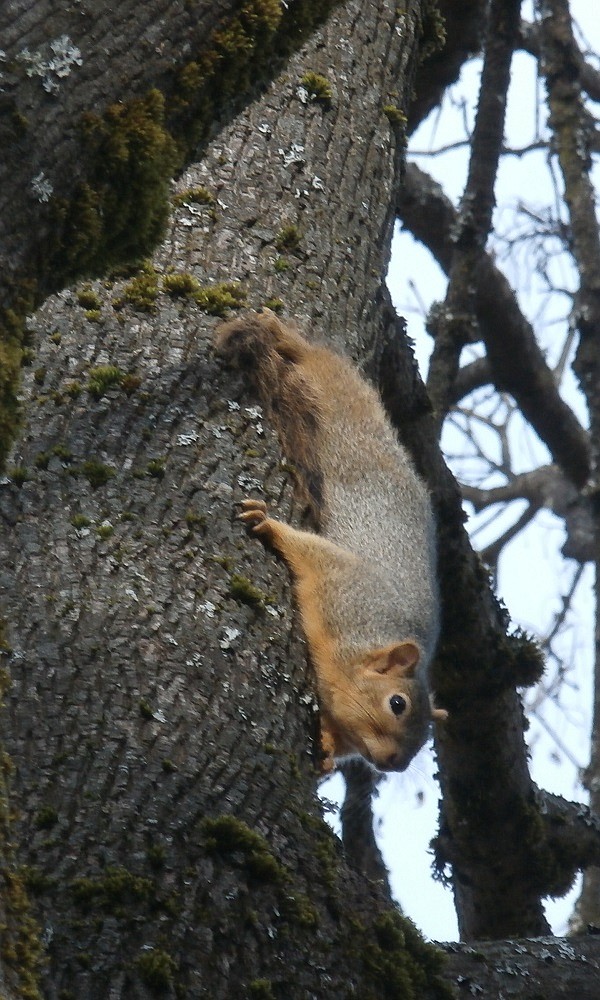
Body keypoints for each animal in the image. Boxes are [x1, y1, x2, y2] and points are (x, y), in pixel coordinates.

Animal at [216, 310, 446, 772]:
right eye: (397, 704)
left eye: (426, 738)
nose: (392, 763)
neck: (366, 636)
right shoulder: (345, 583)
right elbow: (309, 551)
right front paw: (267, 523)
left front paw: (324, 747)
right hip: (335, 395)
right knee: (318, 361)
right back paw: (284, 334)